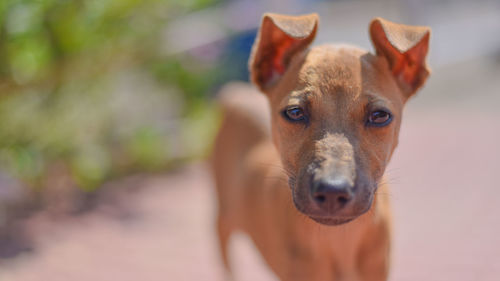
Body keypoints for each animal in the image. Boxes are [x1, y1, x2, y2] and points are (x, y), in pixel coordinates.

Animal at [211, 13, 430, 280]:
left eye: (380, 116)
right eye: (295, 112)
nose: (333, 191)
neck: (339, 241)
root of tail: (235, 92)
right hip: (224, 217)